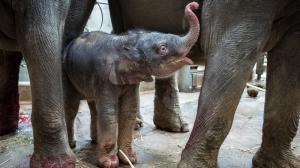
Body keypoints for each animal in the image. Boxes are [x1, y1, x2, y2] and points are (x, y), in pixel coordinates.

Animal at [62, 2, 199, 167]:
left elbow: (129, 110)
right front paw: (110, 163)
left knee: (94, 107)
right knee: (71, 108)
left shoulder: (130, 78)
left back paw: (95, 141)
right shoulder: (103, 76)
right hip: (66, 74)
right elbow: (109, 113)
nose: (194, 5)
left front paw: (129, 159)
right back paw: (72, 144)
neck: (126, 41)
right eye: (163, 48)